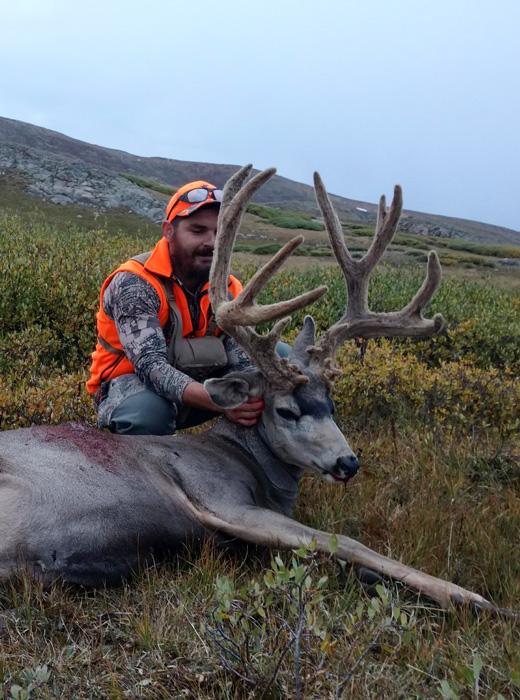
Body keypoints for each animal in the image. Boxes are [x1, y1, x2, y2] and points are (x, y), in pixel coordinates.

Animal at [0, 165, 507, 615]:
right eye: (285, 411)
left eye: (332, 404)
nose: (348, 462)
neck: (249, 465)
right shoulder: (219, 497)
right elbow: (346, 540)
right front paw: (472, 598)